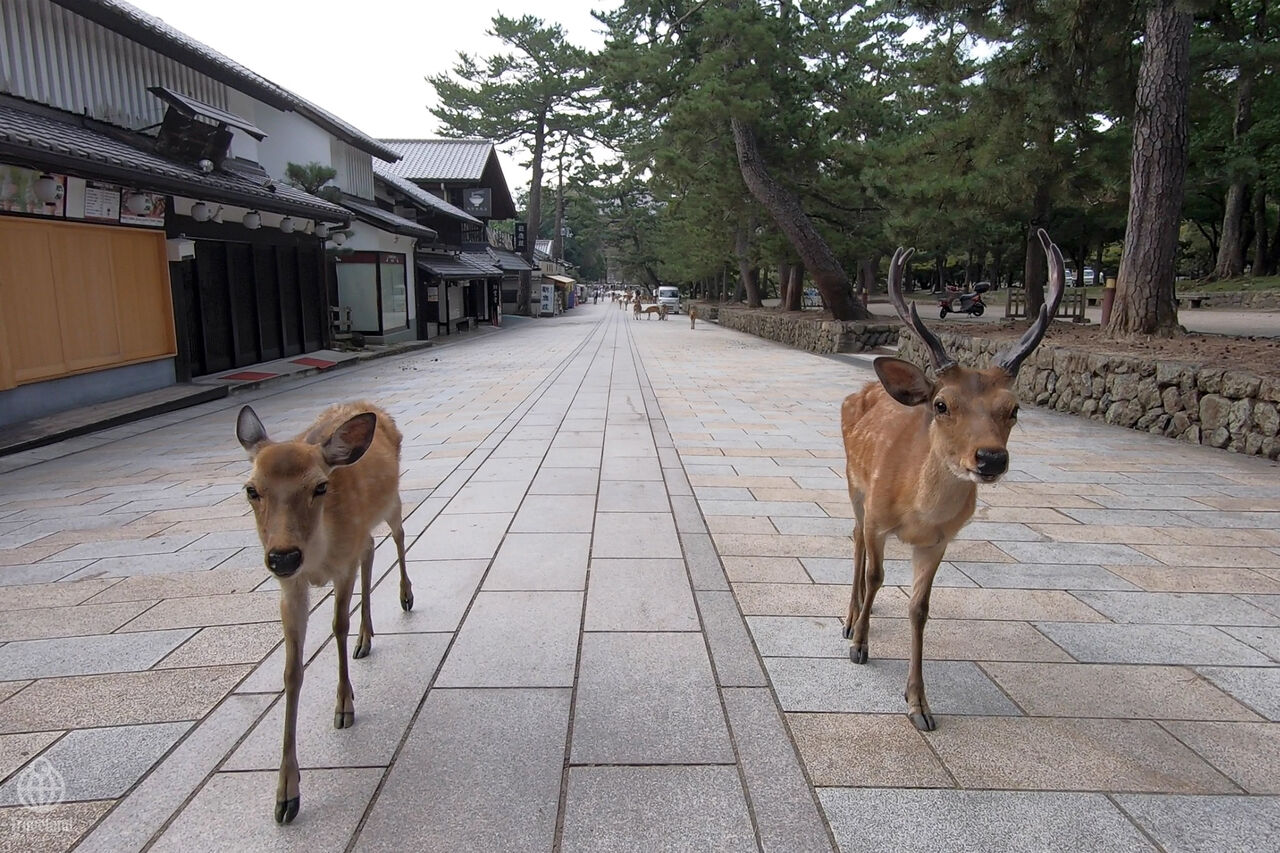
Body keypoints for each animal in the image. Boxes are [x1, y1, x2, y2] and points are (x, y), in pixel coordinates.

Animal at [235, 402, 414, 824]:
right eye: (252, 489)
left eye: (319, 486)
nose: (283, 557)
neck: (318, 555)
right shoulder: (290, 588)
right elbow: (291, 672)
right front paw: (286, 794)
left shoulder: (342, 566)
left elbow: (337, 625)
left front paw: (345, 706)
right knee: (370, 547)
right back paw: (366, 638)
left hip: (392, 501)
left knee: (398, 535)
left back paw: (405, 597)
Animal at [841, 228, 1064, 732]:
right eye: (942, 404)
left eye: (1013, 408)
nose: (990, 458)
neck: (916, 511)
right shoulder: (878, 516)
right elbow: (877, 573)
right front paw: (860, 645)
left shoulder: (940, 540)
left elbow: (920, 609)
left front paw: (919, 704)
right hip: (853, 485)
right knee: (857, 544)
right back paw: (850, 618)